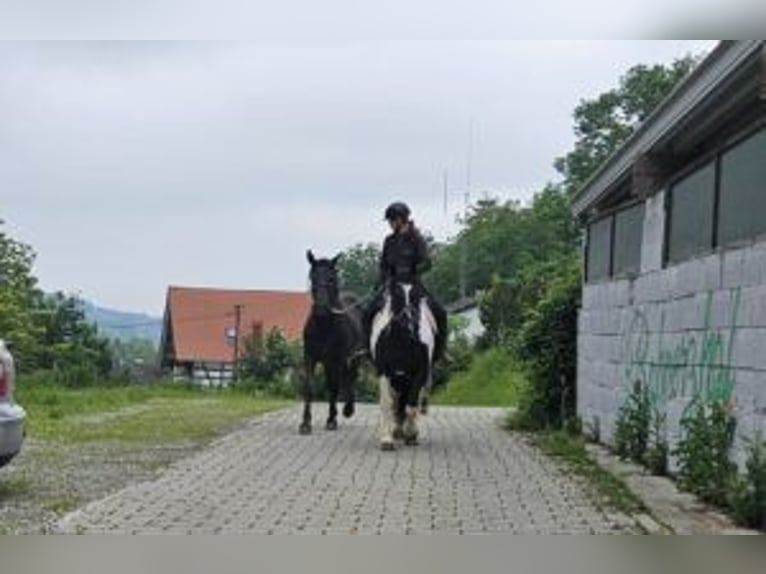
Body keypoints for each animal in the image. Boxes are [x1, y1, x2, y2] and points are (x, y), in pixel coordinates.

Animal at [300, 250, 366, 434]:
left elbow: (333, 386)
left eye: (331, 278)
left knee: (350, 379)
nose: (321, 309)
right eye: (312, 276)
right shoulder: (310, 357)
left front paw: (331, 420)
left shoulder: (336, 359)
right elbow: (309, 386)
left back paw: (347, 410)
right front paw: (305, 423)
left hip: (353, 358)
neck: (323, 325)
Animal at [370, 282, 438, 452]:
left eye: (415, 299)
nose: (410, 323)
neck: (402, 342)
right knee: (396, 403)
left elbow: (411, 405)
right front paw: (387, 440)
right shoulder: (384, 373)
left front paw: (411, 435)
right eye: (397, 298)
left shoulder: (419, 373)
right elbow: (388, 404)